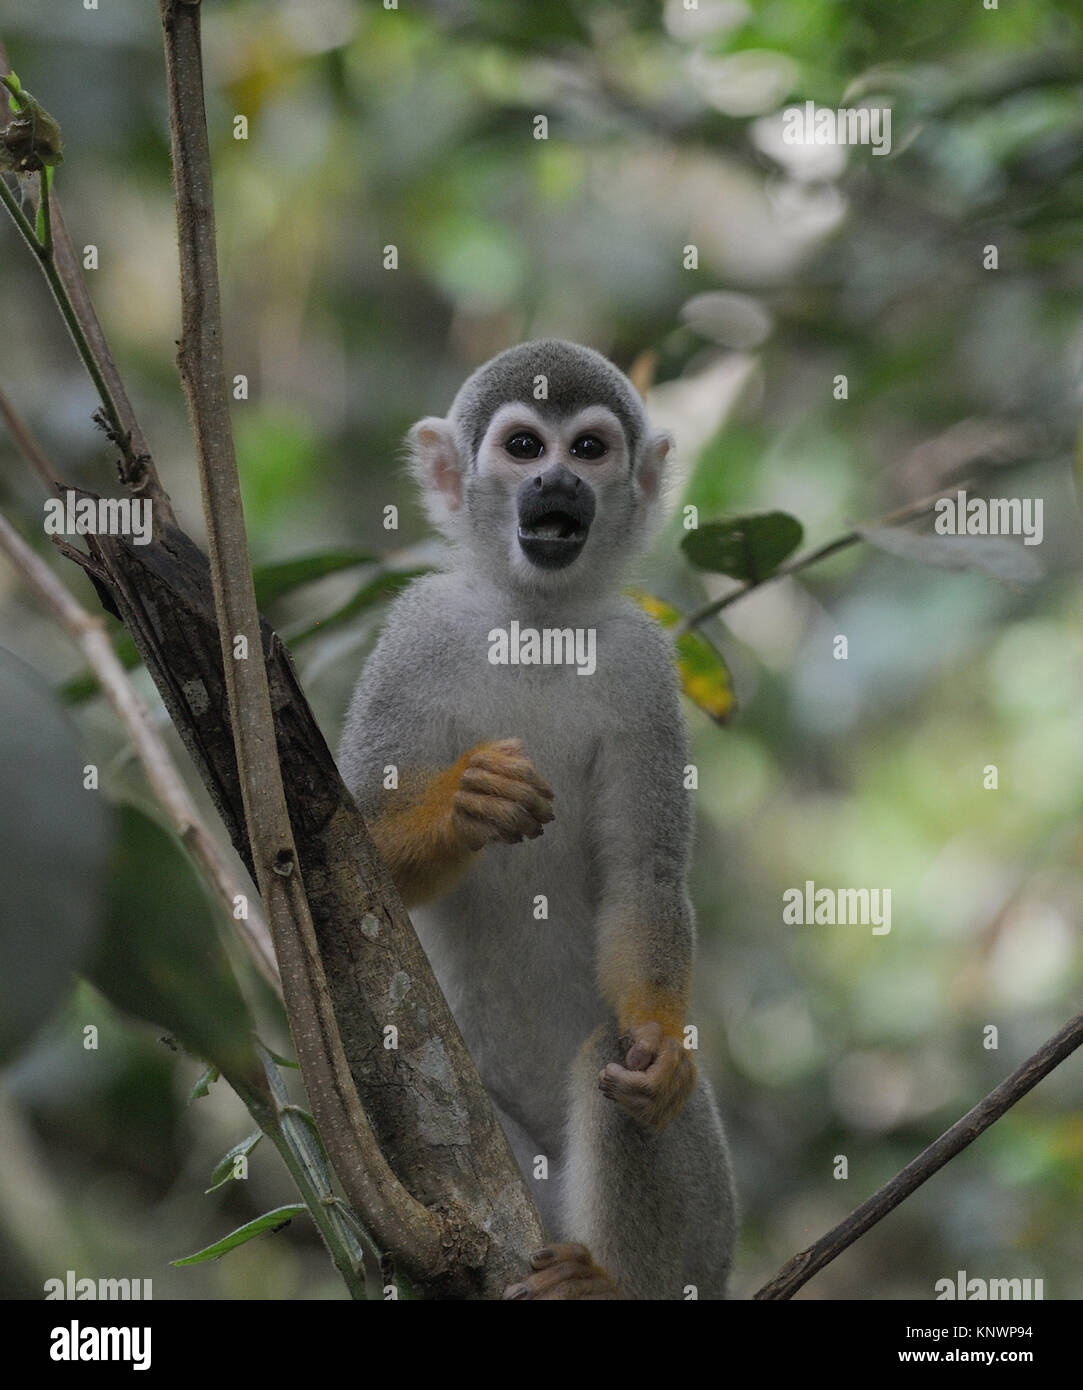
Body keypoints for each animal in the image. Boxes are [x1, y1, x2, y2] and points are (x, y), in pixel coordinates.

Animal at [339, 341, 739, 1295]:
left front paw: (662, 1043)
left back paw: (608, 1281)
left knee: (608, 1059)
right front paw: (466, 802)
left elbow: (643, 874)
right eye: (524, 446)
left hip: (707, 1237)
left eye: (587, 450)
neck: (538, 619)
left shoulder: (646, 664)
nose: (556, 483)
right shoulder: (414, 634)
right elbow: (339, 852)